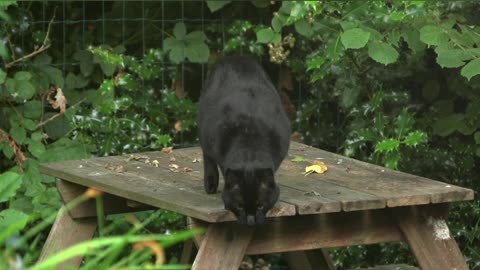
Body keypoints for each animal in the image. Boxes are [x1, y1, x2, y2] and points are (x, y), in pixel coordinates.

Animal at [197, 56, 290, 226]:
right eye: (239, 206)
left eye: (260, 206)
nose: (250, 221)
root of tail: (234, 57)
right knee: (208, 158)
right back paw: (210, 184)